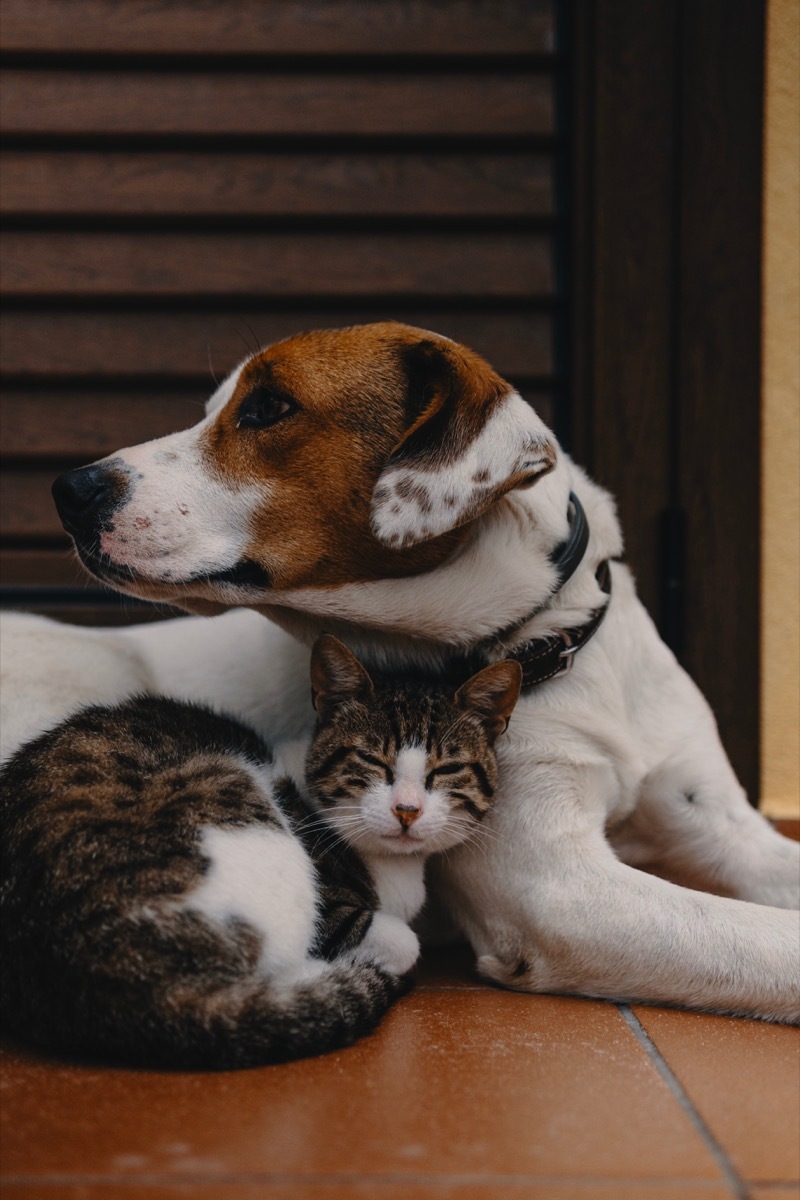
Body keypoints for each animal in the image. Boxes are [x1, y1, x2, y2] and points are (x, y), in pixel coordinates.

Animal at [1, 321, 800, 1022]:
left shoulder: (720, 822)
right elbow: (767, 942)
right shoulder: (557, 888)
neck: (551, 639)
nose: (70, 490)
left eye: (269, 406)